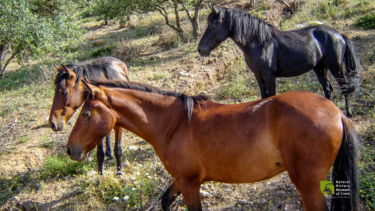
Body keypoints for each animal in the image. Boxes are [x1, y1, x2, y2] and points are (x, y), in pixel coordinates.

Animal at [66, 79, 360, 211]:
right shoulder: (182, 179)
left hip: (308, 185)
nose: (70, 150)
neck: (173, 123)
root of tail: (336, 112)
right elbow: (165, 200)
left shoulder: (189, 183)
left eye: (85, 114)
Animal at [198, 6, 362, 117]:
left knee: (345, 88)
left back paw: (348, 113)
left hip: (336, 68)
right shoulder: (259, 76)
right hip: (320, 68)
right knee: (327, 89)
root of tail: (339, 34)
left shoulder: (270, 77)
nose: (200, 49)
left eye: (213, 25)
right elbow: (263, 97)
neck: (259, 43)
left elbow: (270, 97)